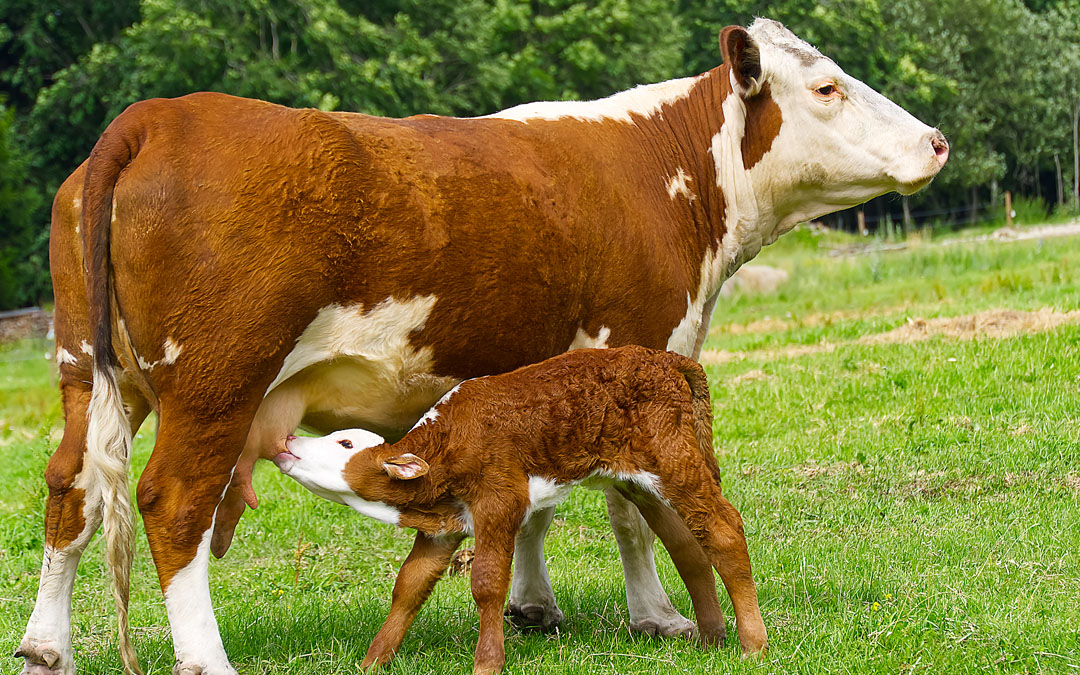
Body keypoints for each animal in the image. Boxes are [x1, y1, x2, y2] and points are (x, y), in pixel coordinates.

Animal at [274, 345, 768, 669]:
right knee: (688, 541)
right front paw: (372, 663)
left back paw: (753, 645)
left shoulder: (499, 500)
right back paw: (711, 638)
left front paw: (487, 663)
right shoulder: (442, 527)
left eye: (345, 443)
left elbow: (488, 583)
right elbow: (409, 586)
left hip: (674, 460)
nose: (289, 439)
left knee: (724, 530)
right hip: (641, 479)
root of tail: (664, 357)